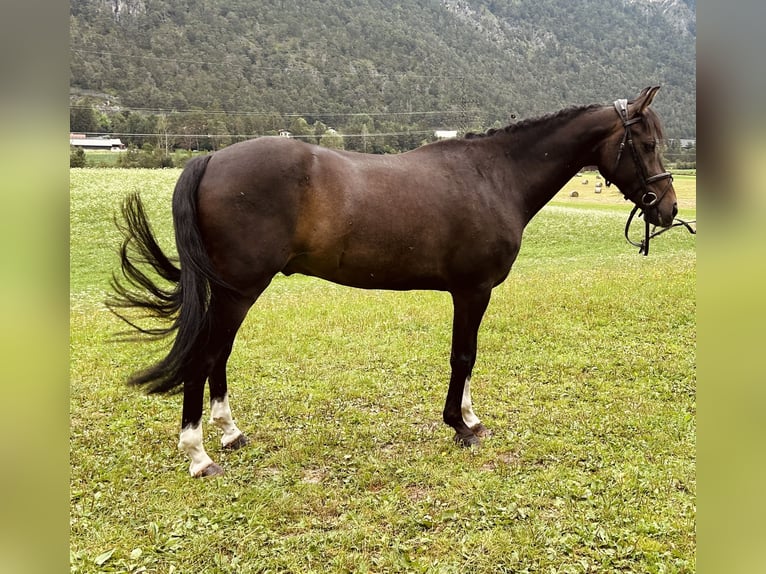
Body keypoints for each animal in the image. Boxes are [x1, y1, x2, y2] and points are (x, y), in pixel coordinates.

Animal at [112, 88, 680, 480]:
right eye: (646, 143)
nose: (670, 209)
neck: (493, 176)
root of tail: (212, 158)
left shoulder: (469, 292)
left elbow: (467, 355)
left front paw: (468, 417)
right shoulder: (473, 290)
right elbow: (463, 355)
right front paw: (461, 425)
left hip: (234, 293)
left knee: (219, 356)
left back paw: (230, 433)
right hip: (238, 291)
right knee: (206, 356)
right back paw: (199, 454)